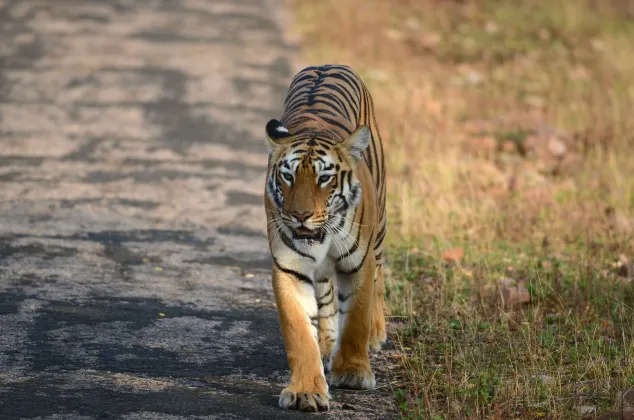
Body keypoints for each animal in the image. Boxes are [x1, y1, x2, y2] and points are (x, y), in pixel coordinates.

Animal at [260, 64, 386, 412]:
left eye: (324, 178)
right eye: (287, 176)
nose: (300, 215)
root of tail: (327, 64)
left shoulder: (359, 263)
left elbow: (356, 318)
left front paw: (354, 372)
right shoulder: (289, 268)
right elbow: (299, 333)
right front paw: (306, 391)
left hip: (380, 231)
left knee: (380, 277)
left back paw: (376, 333)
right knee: (327, 298)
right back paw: (328, 345)